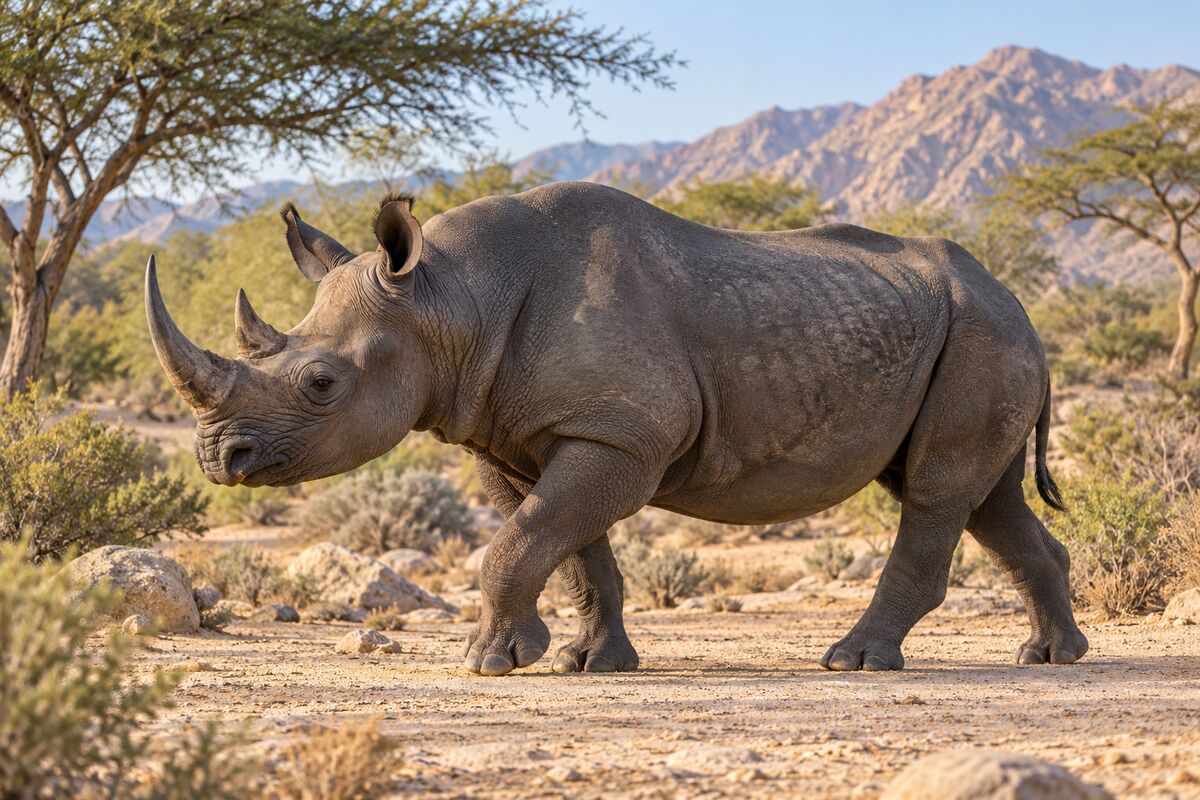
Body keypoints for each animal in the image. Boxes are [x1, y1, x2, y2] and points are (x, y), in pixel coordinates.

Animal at [146, 182, 1088, 676]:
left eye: (320, 382)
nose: (218, 458)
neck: (449, 299)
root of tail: (1020, 303)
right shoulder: (525, 435)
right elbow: (564, 546)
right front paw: (580, 661)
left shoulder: (621, 435)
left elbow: (522, 541)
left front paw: (489, 663)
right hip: (977, 335)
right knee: (982, 497)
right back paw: (1051, 656)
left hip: (984, 334)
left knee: (934, 492)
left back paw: (851, 663)